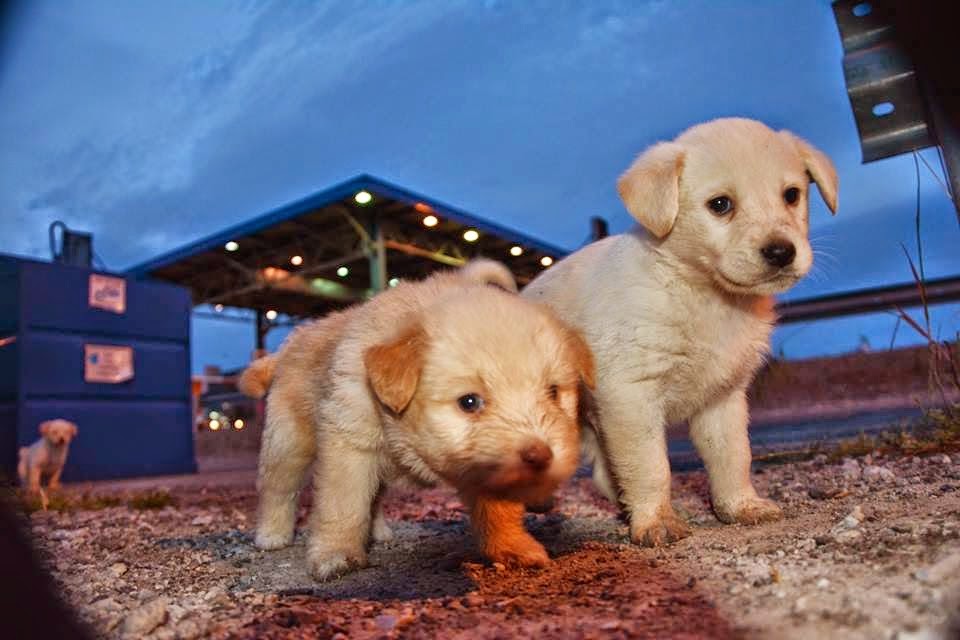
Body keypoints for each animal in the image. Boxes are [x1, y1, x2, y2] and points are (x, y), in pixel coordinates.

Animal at [240, 260, 592, 580]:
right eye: (469, 402)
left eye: (553, 392)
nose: (541, 456)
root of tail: (290, 344)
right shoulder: (349, 445)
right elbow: (343, 506)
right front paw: (335, 554)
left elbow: (497, 510)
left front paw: (512, 547)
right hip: (287, 442)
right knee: (278, 489)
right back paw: (272, 535)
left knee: (374, 497)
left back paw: (378, 532)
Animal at [524, 121, 840, 552]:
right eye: (720, 204)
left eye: (792, 195)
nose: (781, 252)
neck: (701, 294)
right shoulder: (630, 398)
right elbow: (651, 466)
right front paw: (656, 521)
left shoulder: (723, 399)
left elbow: (733, 457)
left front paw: (740, 506)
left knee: (605, 473)